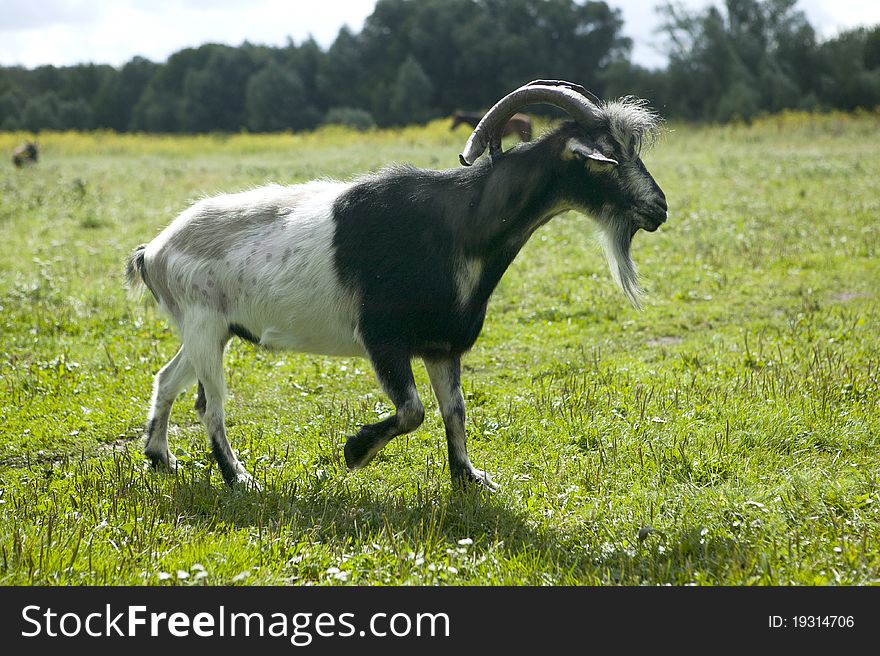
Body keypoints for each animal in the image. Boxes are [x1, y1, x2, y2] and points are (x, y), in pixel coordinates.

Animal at [125, 79, 668, 490]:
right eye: (607, 157)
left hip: (211, 331)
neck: (461, 225)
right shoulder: (382, 338)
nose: (659, 208)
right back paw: (238, 477)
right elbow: (413, 410)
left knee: (167, 378)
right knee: (209, 405)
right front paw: (355, 450)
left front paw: (470, 477)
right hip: (204, 324)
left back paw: (160, 456)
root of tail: (154, 252)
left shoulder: (442, 345)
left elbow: (455, 410)